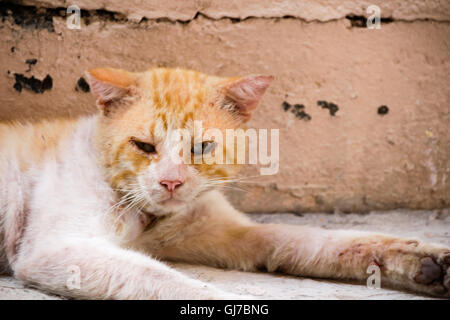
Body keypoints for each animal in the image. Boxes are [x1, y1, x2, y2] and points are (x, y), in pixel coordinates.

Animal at [0, 67, 448, 300]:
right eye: (144, 146)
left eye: (201, 147)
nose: (171, 182)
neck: (149, 219)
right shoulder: (57, 250)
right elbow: (166, 280)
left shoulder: (228, 231)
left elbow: (309, 240)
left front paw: (424, 261)